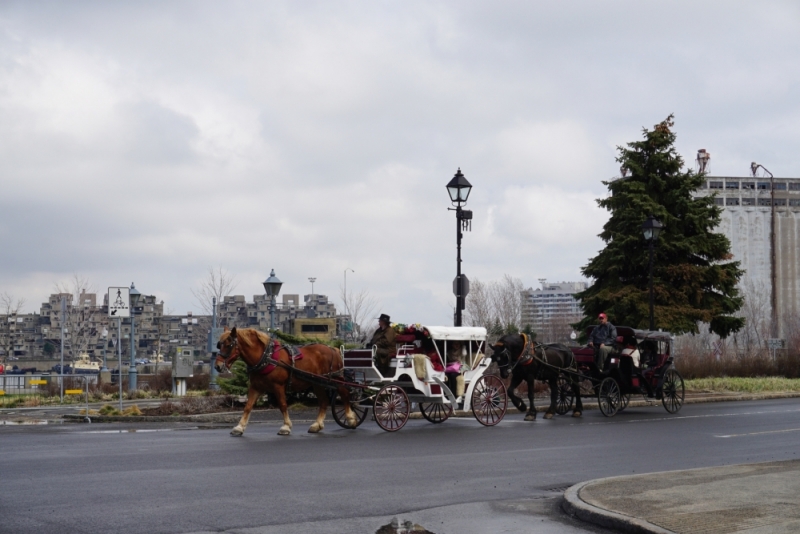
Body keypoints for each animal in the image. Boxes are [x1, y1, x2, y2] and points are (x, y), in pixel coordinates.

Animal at [212, 328, 356, 438]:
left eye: (229, 345)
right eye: (220, 344)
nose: (218, 366)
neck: (266, 357)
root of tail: (334, 349)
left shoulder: (278, 386)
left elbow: (282, 405)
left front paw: (286, 427)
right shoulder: (255, 387)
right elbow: (248, 406)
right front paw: (239, 427)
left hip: (336, 380)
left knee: (345, 395)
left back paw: (351, 419)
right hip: (317, 383)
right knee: (324, 401)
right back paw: (317, 425)